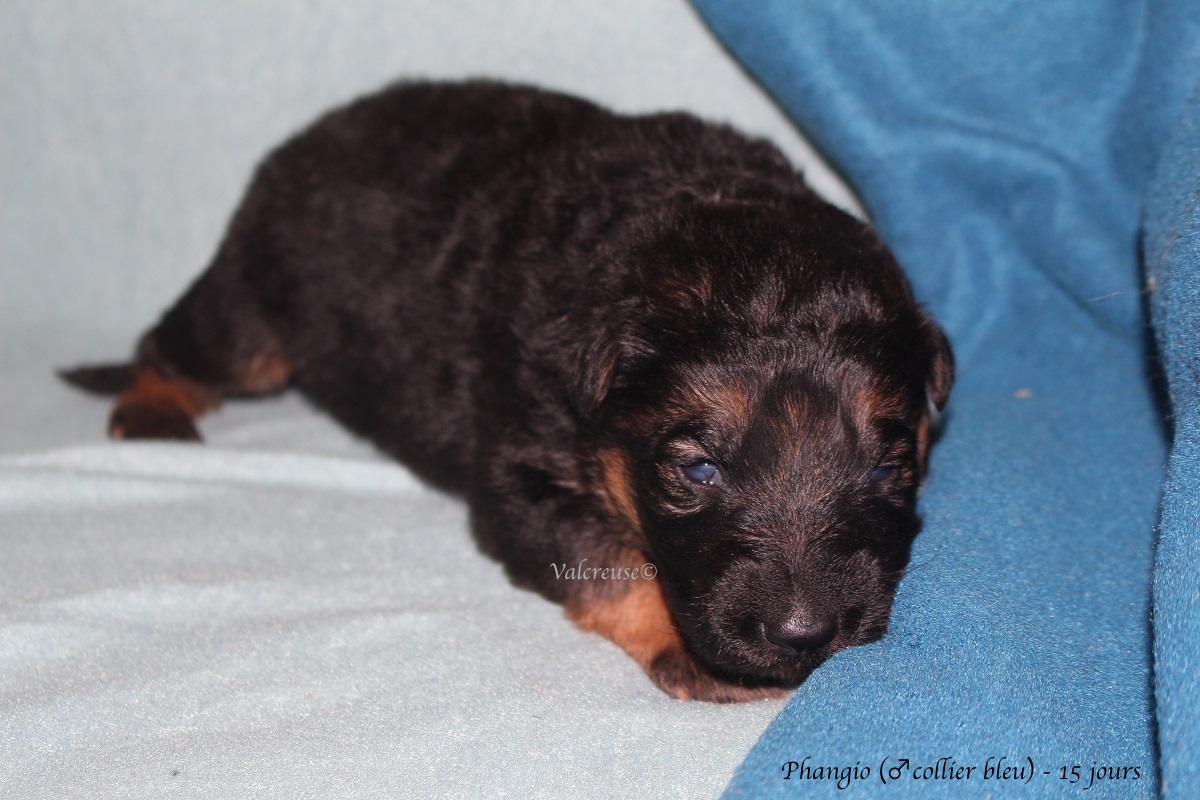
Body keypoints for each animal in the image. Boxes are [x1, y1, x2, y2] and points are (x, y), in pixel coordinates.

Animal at [61, 80, 953, 702]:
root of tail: (305, 140)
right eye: (698, 471)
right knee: (175, 345)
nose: (806, 634)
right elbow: (609, 562)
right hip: (253, 311)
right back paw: (150, 407)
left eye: (887, 469)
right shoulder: (519, 473)